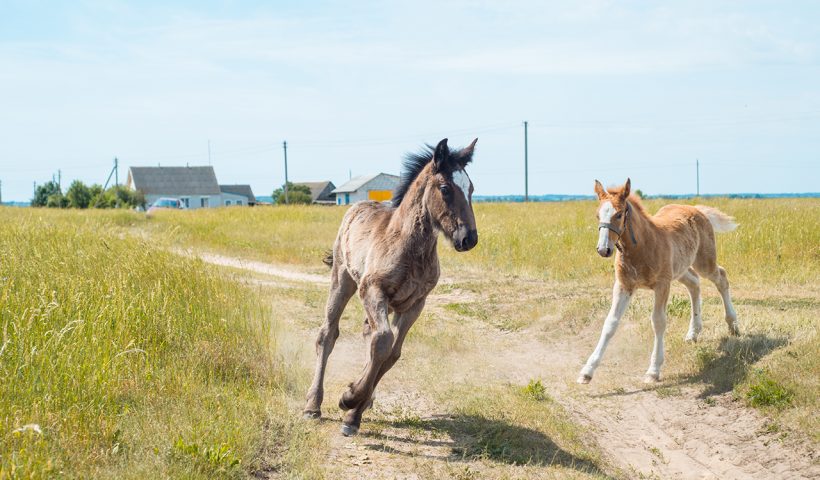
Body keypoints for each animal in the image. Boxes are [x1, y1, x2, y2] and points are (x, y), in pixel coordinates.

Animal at [304, 138, 478, 436]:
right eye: (445, 189)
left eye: (471, 189)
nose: (469, 238)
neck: (410, 247)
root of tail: (357, 205)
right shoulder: (372, 290)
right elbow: (383, 341)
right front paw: (348, 398)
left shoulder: (415, 304)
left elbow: (391, 353)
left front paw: (354, 411)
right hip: (342, 278)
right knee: (328, 334)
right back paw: (313, 405)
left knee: (367, 333)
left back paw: (365, 398)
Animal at [580, 178, 740, 384]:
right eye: (597, 215)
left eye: (618, 214)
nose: (603, 249)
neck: (642, 246)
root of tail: (697, 209)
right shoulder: (624, 285)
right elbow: (610, 323)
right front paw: (587, 371)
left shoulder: (662, 285)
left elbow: (658, 321)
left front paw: (653, 370)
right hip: (679, 270)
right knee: (694, 284)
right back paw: (693, 333)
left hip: (704, 262)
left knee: (721, 277)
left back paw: (733, 325)